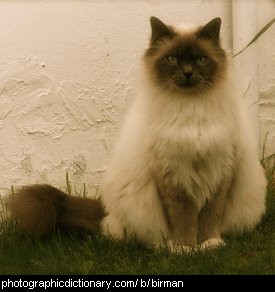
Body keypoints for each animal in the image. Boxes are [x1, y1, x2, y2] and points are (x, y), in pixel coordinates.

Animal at [10, 17, 268, 252]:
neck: (189, 108)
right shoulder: (172, 176)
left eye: (201, 60)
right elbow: (182, 218)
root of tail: (106, 213)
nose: (187, 73)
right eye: (172, 59)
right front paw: (184, 248)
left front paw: (208, 245)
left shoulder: (219, 172)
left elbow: (209, 216)